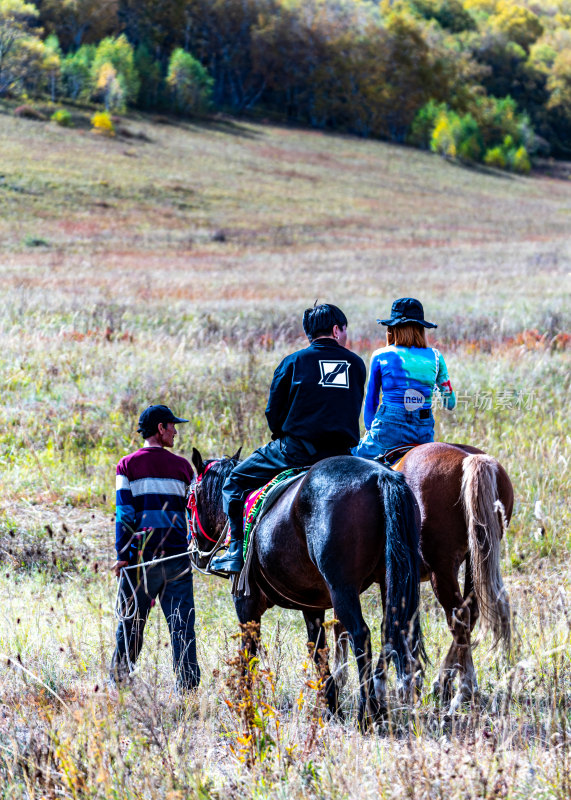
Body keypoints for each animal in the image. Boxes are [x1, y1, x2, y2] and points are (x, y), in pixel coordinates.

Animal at [191, 446, 424, 728]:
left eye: (189, 501)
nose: (196, 553)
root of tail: (381, 476)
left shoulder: (247, 604)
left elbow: (248, 650)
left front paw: (243, 703)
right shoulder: (312, 607)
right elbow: (318, 650)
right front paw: (332, 707)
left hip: (342, 588)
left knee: (361, 636)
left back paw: (366, 713)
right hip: (391, 580)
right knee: (392, 630)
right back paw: (379, 706)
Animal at [394, 444, 512, 712]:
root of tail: (470, 459)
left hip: (442, 567)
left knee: (458, 615)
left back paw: (463, 691)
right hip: (475, 558)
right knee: (469, 613)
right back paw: (445, 683)